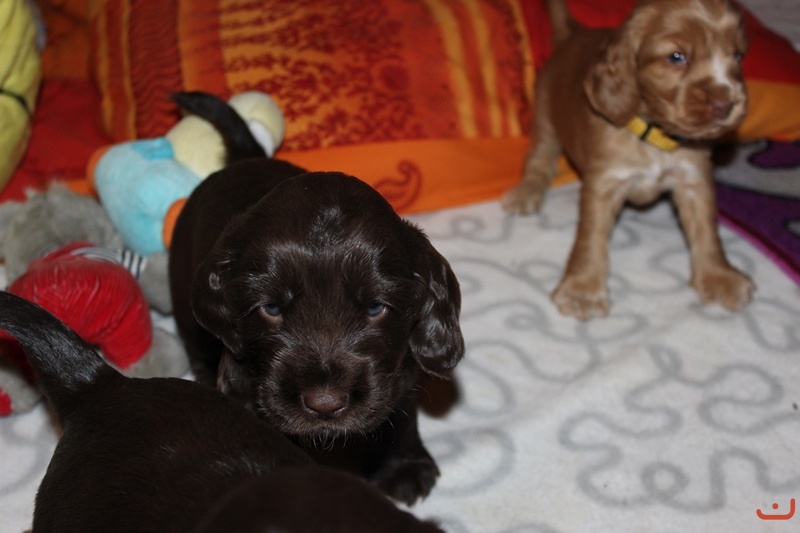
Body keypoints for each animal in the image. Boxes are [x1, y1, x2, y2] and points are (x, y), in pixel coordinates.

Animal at [168, 93, 465, 504]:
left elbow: (402, 415)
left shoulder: (399, 372)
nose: (325, 404)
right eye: (271, 309)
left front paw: (404, 468)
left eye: (376, 308)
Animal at [503, 0, 754, 320]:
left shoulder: (694, 179)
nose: (726, 104)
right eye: (676, 57)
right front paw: (583, 289)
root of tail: (574, 34)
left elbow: (707, 231)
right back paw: (527, 192)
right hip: (545, 116)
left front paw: (719, 277)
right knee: (540, 160)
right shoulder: (604, 183)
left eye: (737, 55)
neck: (654, 136)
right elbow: (591, 238)